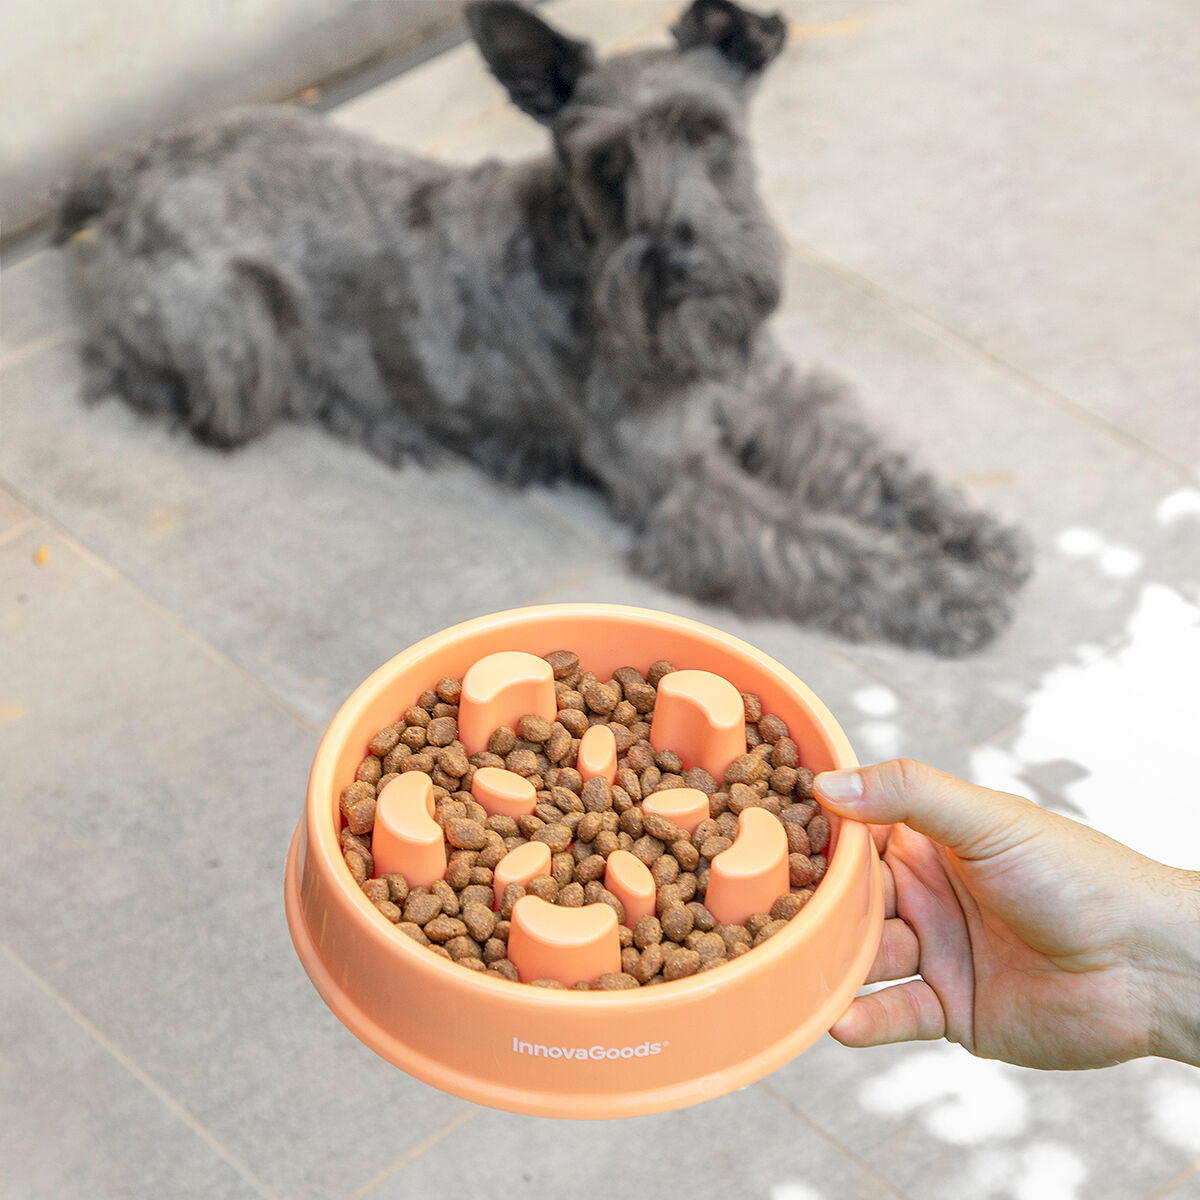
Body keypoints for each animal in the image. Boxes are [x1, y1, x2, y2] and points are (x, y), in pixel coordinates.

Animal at [56, 0, 1032, 657]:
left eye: (710, 133)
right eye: (608, 161)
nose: (683, 267)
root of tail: (134, 163)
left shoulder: (777, 394)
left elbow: (875, 465)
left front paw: (973, 535)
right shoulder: (686, 490)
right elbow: (826, 544)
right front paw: (945, 592)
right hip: (238, 348)